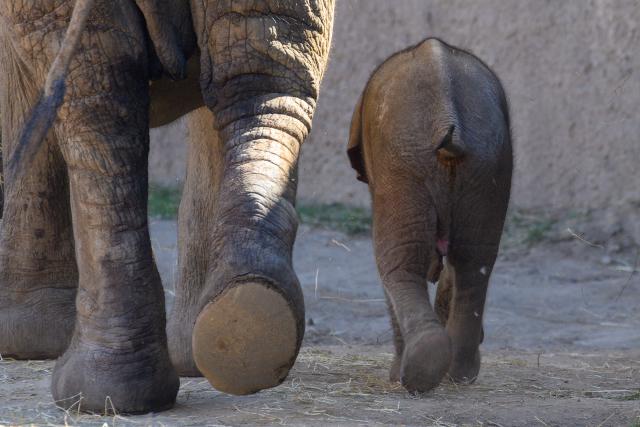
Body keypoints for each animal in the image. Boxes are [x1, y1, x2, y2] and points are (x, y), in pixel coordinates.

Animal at [347, 38, 512, 393]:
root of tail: (446, 117)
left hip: (405, 168)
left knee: (399, 262)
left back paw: (416, 371)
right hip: (487, 167)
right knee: (474, 262)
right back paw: (458, 373)